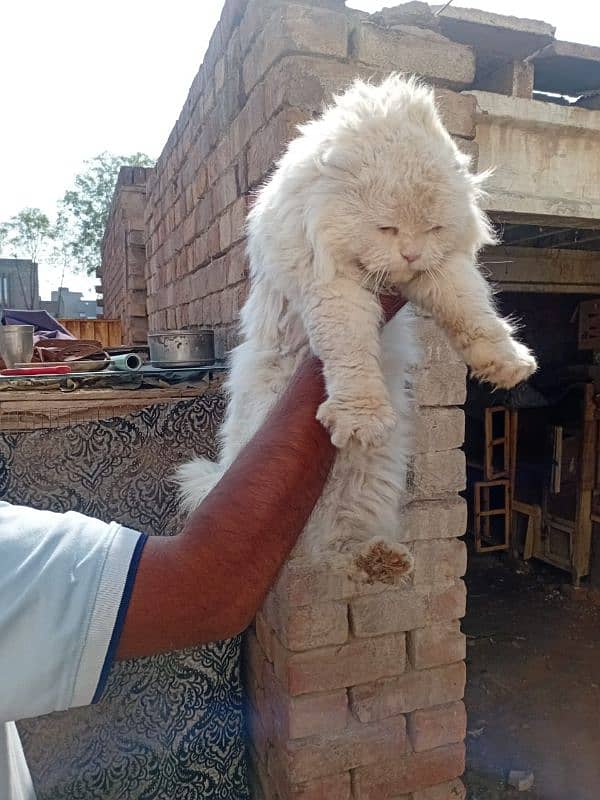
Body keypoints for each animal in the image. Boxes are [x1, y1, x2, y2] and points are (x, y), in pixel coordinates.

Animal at [176, 75, 536, 584]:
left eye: (432, 228)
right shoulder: (331, 288)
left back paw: (385, 559)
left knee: (340, 548)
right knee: (308, 557)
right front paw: (361, 418)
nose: (410, 254)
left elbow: (474, 311)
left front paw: (507, 364)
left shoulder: (443, 269)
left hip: (369, 489)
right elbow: (350, 349)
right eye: (387, 228)